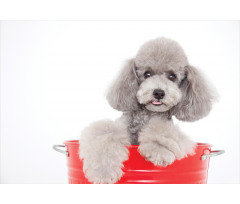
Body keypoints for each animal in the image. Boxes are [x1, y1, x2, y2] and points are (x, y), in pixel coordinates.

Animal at [79, 37, 216, 184]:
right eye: (147, 74)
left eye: (172, 76)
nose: (159, 93)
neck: (147, 116)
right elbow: (105, 134)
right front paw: (103, 172)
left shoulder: (165, 127)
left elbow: (162, 131)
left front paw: (160, 150)